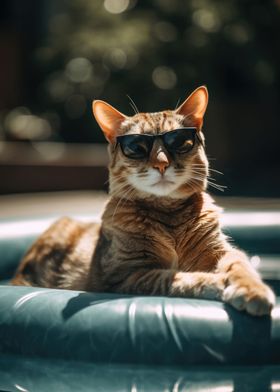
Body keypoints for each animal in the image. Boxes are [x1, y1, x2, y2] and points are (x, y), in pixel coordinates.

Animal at [11, 87, 276, 316]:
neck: (169, 216)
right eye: (137, 147)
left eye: (180, 142)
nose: (161, 163)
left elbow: (240, 265)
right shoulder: (127, 276)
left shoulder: (220, 251)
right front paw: (219, 283)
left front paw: (252, 289)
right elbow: (177, 279)